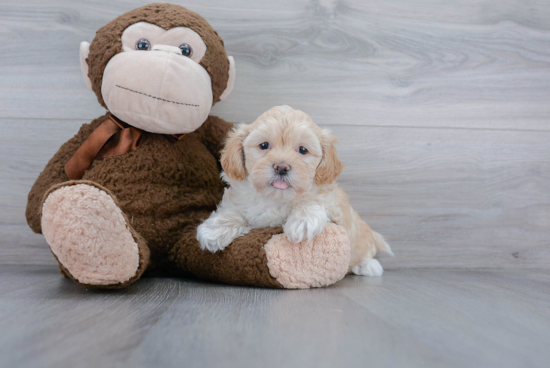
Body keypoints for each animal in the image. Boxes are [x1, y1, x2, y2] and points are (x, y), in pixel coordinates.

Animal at [196, 105, 394, 274]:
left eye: (303, 150)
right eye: (264, 145)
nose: (281, 167)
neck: (277, 197)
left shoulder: (332, 203)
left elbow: (313, 202)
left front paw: (303, 222)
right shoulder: (241, 200)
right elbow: (233, 211)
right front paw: (214, 230)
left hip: (360, 237)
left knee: (364, 250)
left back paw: (368, 266)